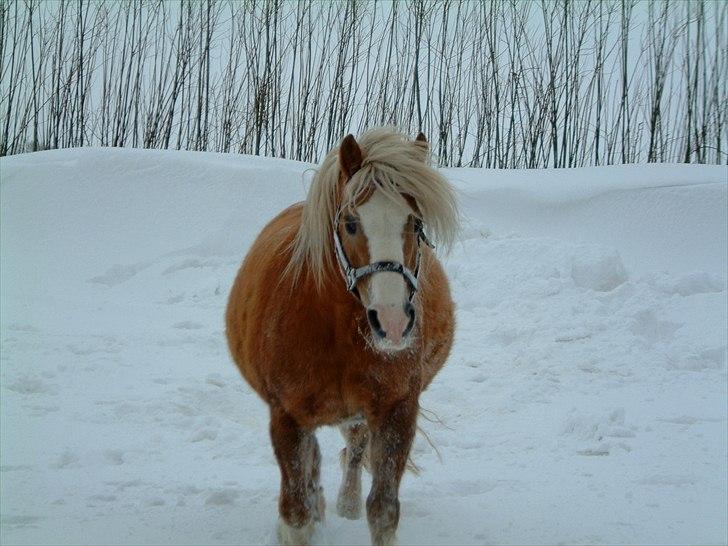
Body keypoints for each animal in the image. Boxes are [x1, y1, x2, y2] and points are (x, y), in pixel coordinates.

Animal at [225, 125, 458, 540]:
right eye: (350, 223)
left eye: (415, 225)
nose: (392, 321)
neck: (336, 331)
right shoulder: (288, 418)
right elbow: (295, 514)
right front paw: (304, 517)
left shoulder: (397, 411)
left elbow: (383, 511)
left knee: (354, 448)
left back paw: (346, 502)